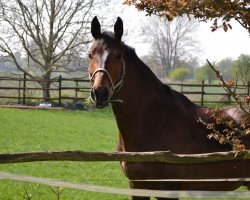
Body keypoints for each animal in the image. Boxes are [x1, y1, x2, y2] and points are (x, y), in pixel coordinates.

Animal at [88, 16, 250, 199]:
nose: (99, 93)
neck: (156, 123)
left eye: (118, 55)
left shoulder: (168, 189)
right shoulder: (136, 186)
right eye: (90, 54)